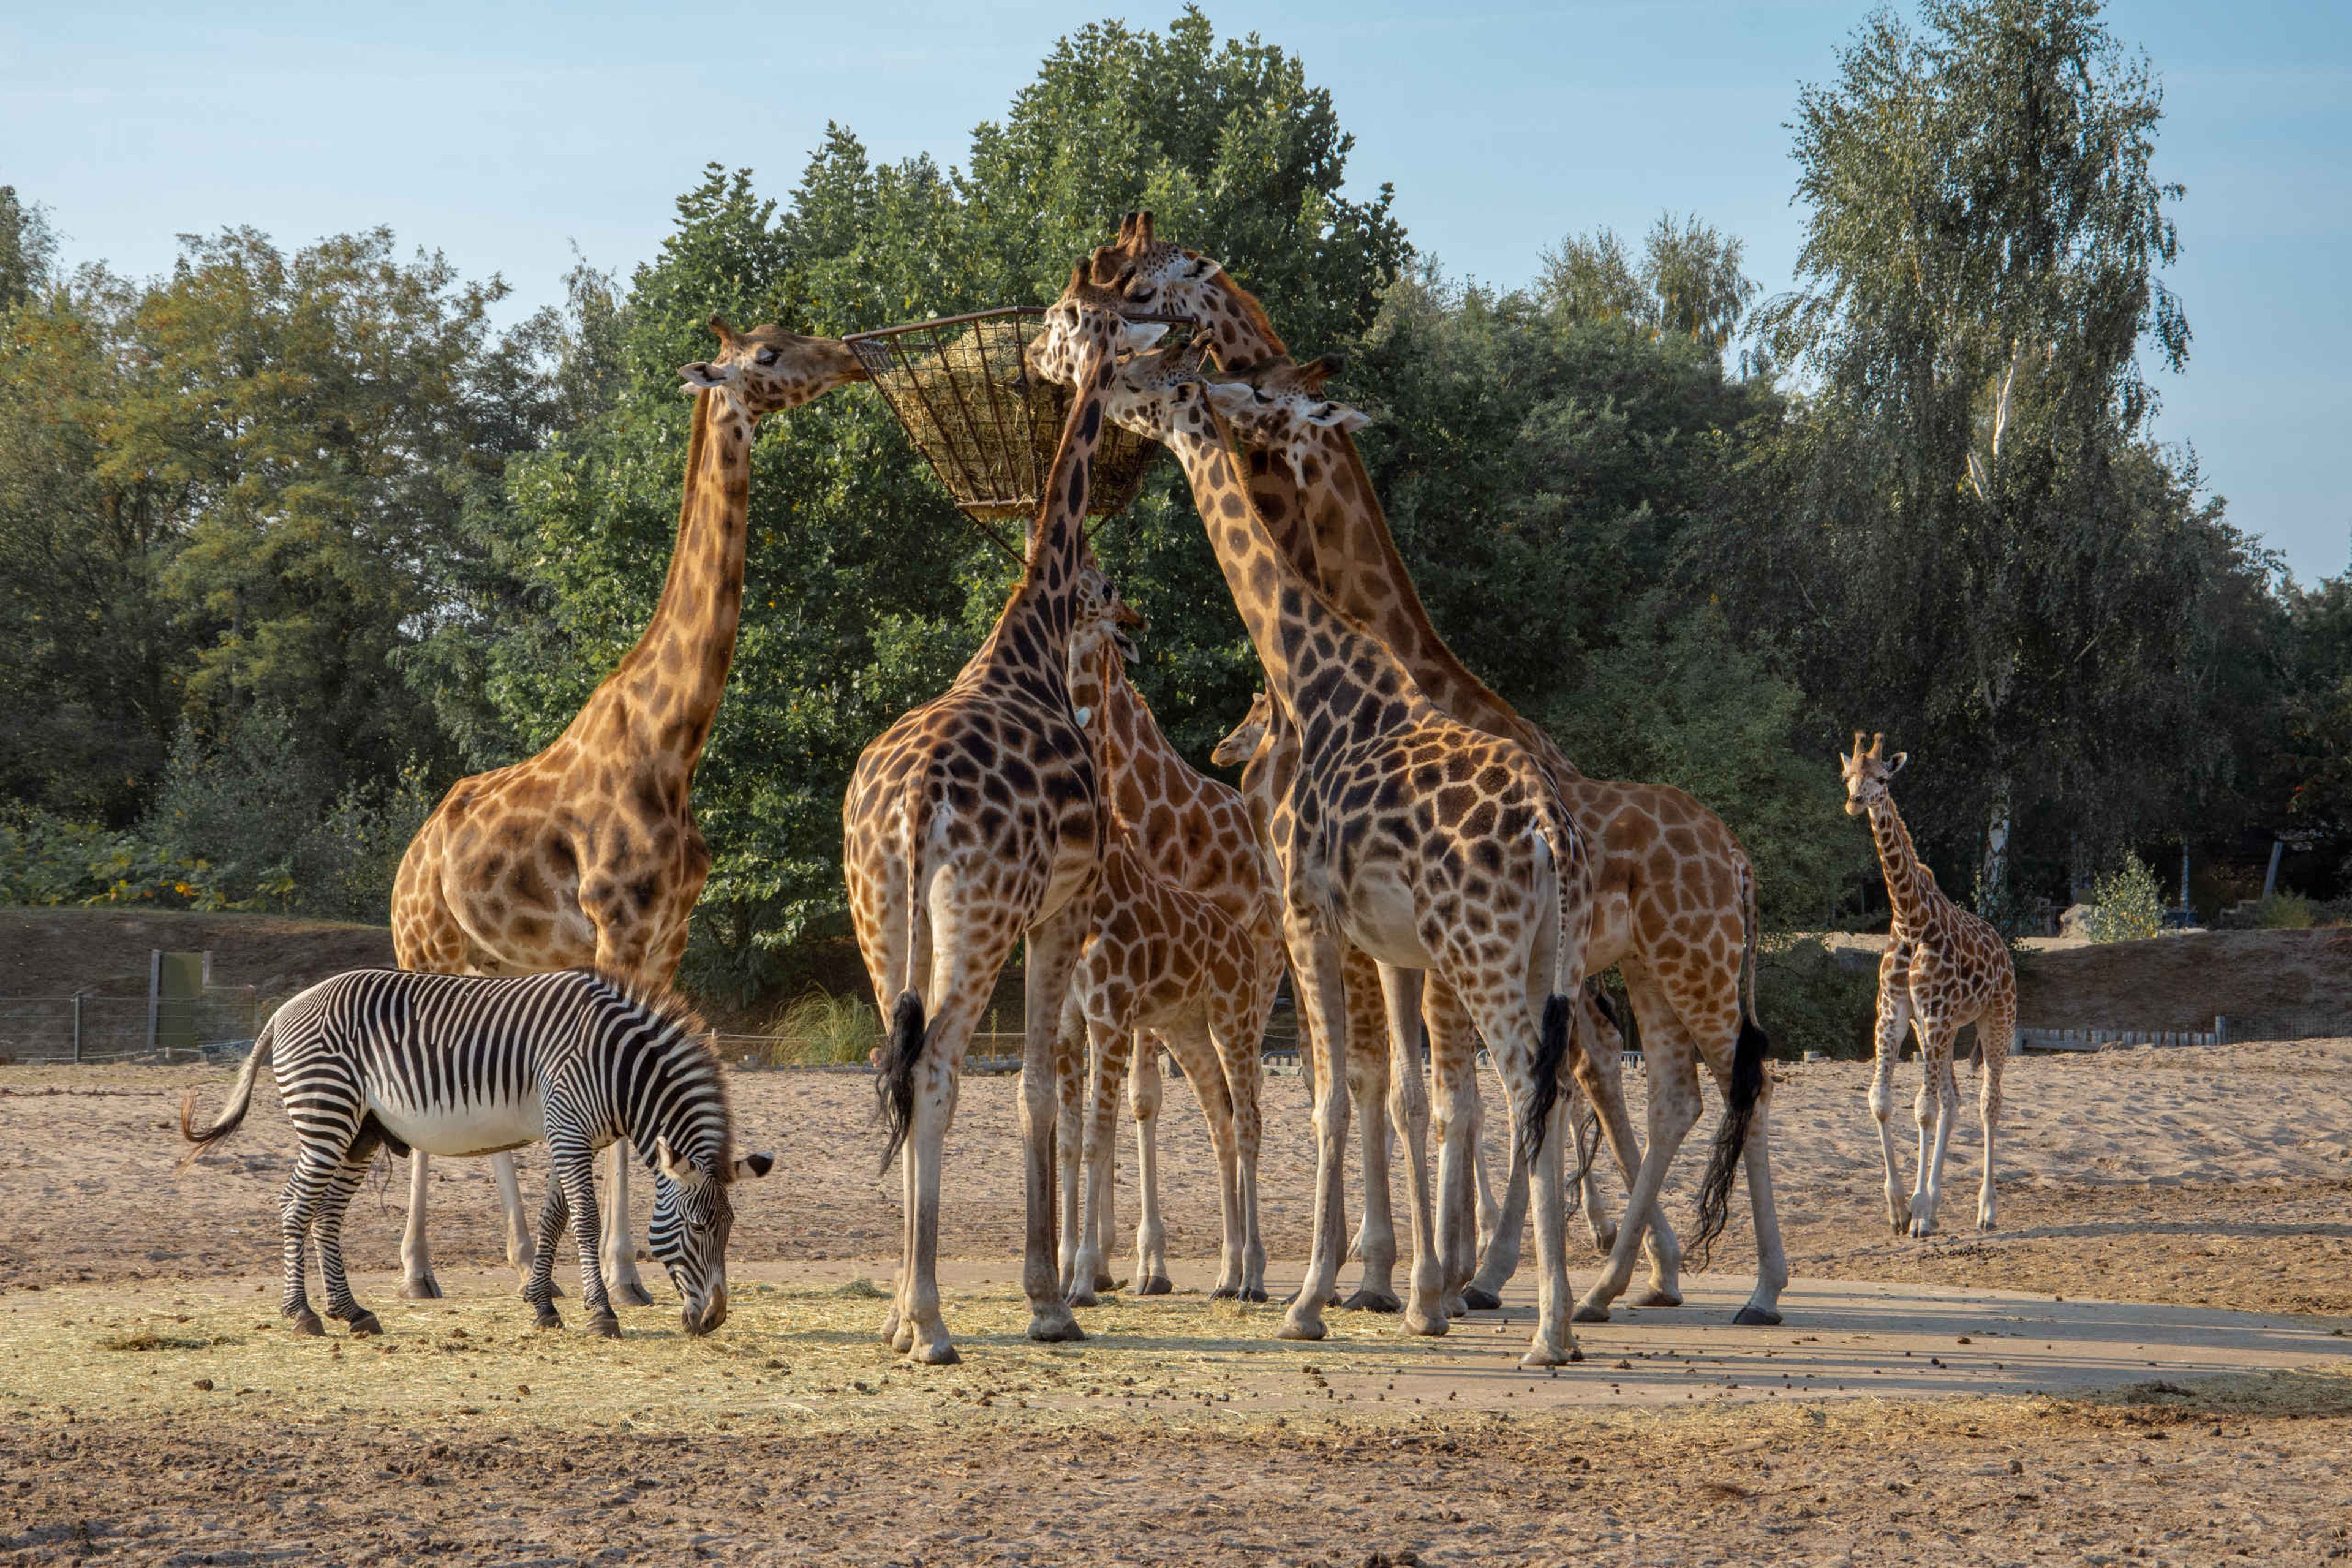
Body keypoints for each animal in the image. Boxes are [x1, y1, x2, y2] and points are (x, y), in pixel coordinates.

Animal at [180, 967, 771, 1339]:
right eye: (698, 1229)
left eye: (729, 1229)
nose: (715, 1320)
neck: (618, 1065)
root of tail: (285, 1010)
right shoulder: (568, 1129)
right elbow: (584, 1220)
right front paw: (602, 1314)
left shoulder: (568, 1133)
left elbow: (554, 1219)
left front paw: (542, 1307)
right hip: (326, 1116)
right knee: (295, 1207)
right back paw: (302, 1315)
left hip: (361, 1132)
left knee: (326, 1216)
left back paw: (352, 1312)